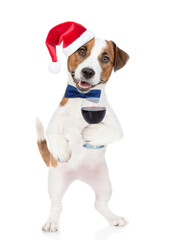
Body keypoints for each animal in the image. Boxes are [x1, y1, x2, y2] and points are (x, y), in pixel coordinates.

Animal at [36, 21, 129, 232]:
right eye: (81, 50)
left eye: (105, 58)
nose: (88, 71)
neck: (82, 98)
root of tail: (79, 175)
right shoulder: (55, 120)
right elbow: (53, 133)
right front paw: (62, 150)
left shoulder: (116, 127)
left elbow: (112, 132)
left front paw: (91, 134)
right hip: (56, 182)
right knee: (56, 205)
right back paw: (52, 222)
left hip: (104, 184)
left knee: (100, 204)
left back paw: (113, 218)